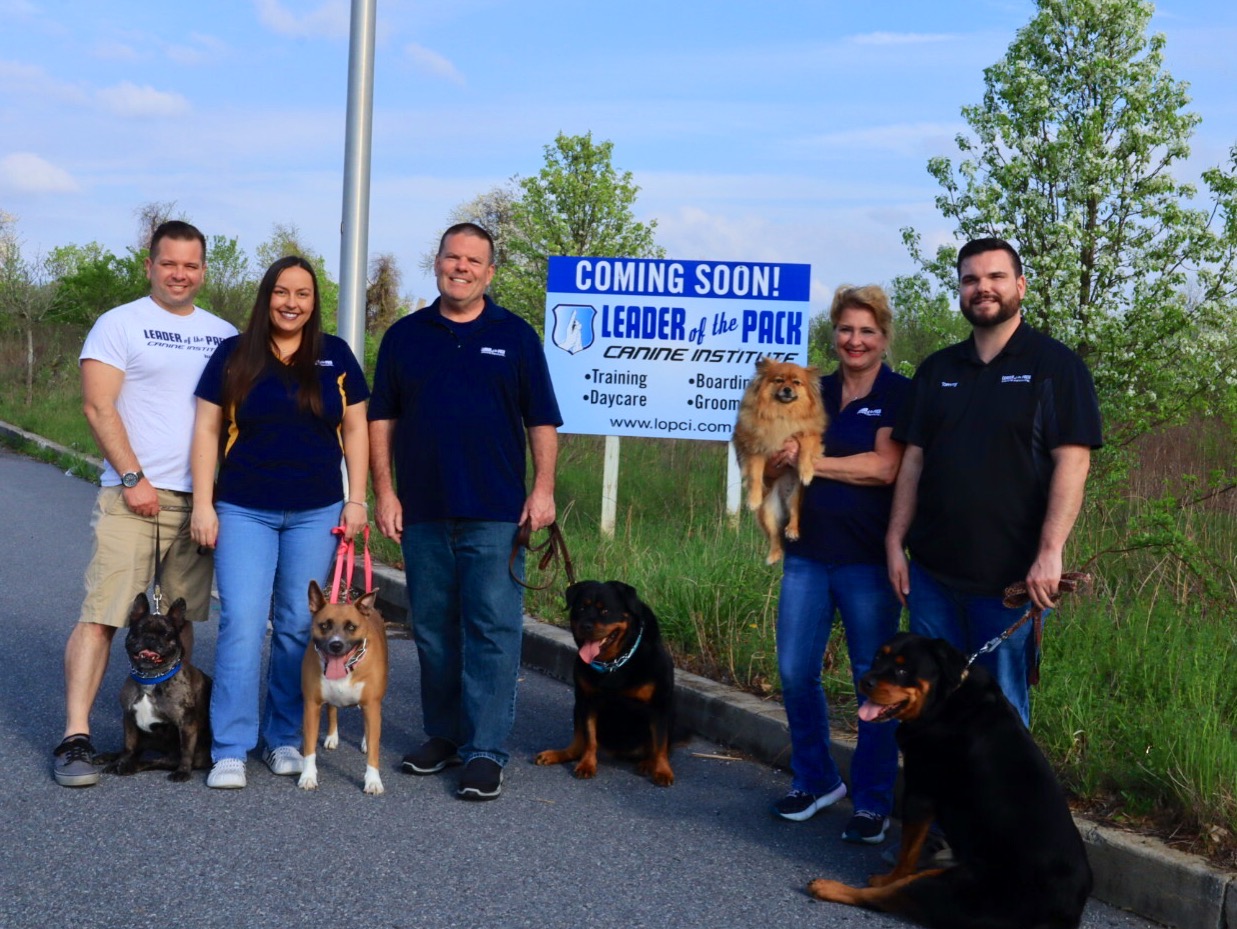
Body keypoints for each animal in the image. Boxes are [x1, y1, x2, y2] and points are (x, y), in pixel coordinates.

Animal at [298, 581, 385, 791]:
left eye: (351, 627)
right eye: (324, 625)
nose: (336, 645)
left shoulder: (372, 704)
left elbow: (374, 749)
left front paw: (373, 781)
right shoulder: (311, 706)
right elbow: (309, 747)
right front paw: (308, 776)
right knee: (332, 709)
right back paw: (332, 737)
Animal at [727, 358, 826, 564]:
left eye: (796, 382)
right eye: (779, 380)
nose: (787, 389)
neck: (783, 413)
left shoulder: (808, 434)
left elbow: (805, 450)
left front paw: (806, 472)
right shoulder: (757, 449)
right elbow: (755, 475)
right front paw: (753, 499)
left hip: (795, 496)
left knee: (794, 514)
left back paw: (792, 530)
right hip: (768, 511)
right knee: (774, 535)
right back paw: (773, 556)